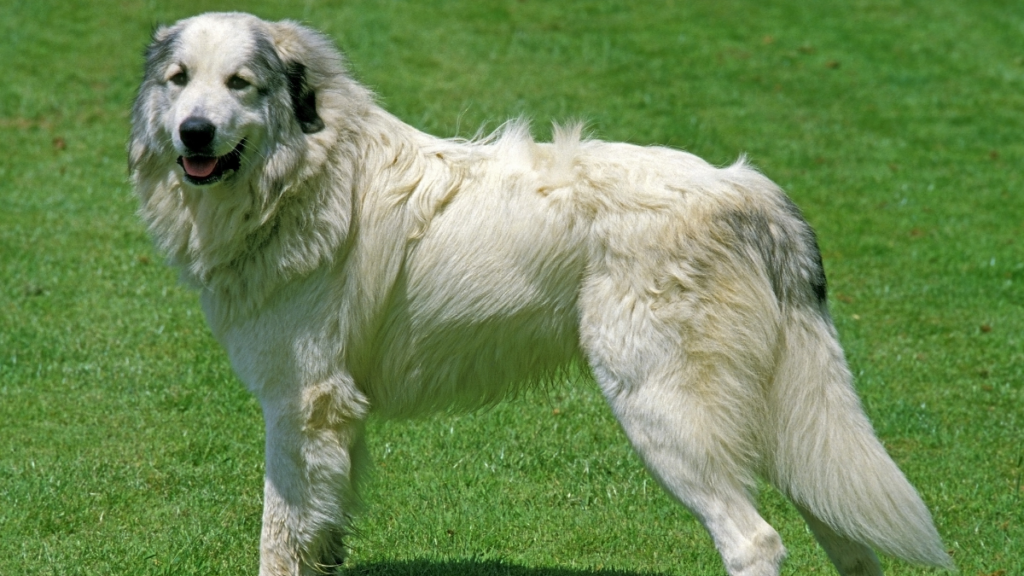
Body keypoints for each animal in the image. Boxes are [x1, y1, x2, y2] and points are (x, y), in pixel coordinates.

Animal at [128, 13, 950, 573]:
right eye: (179, 81)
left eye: (241, 84)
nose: (194, 133)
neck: (306, 176)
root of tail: (747, 191)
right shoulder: (330, 423)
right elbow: (320, 538)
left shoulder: (300, 408)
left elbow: (279, 539)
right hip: (791, 420)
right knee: (845, 536)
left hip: (665, 412)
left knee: (755, 541)